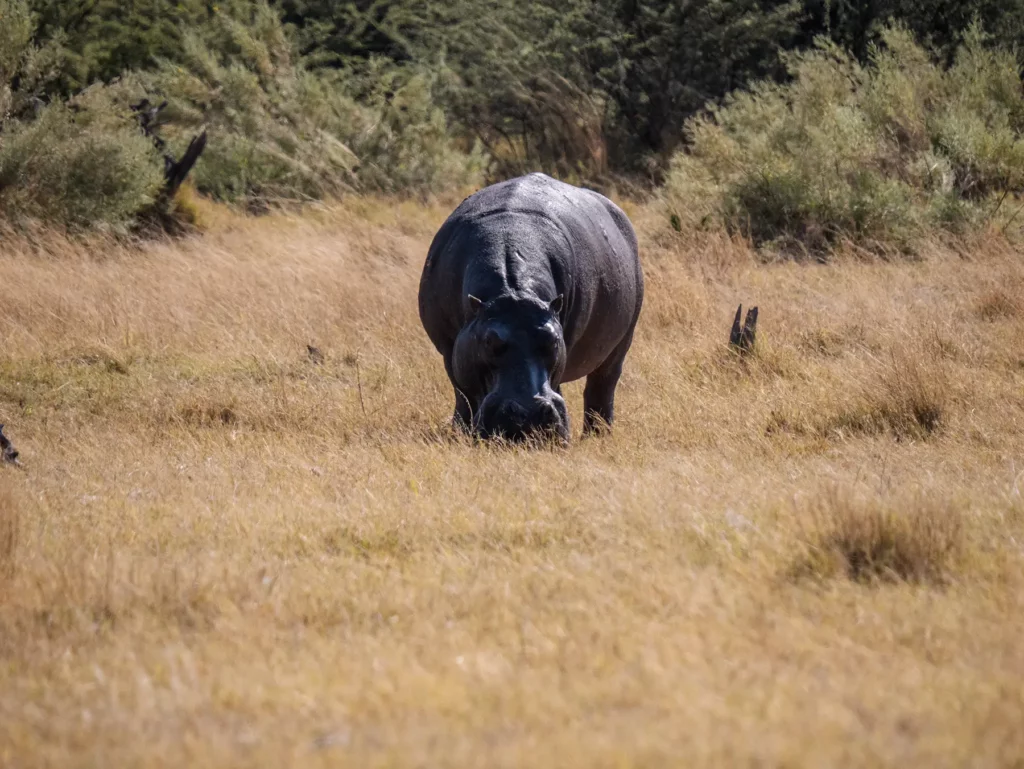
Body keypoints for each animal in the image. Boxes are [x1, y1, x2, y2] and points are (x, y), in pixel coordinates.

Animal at [418, 173, 644, 442]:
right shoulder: (449, 348)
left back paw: (598, 436)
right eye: (489, 342)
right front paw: (461, 434)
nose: (528, 416)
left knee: (602, 387)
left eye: (554, 341)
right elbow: (463, 394)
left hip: (622, 343)